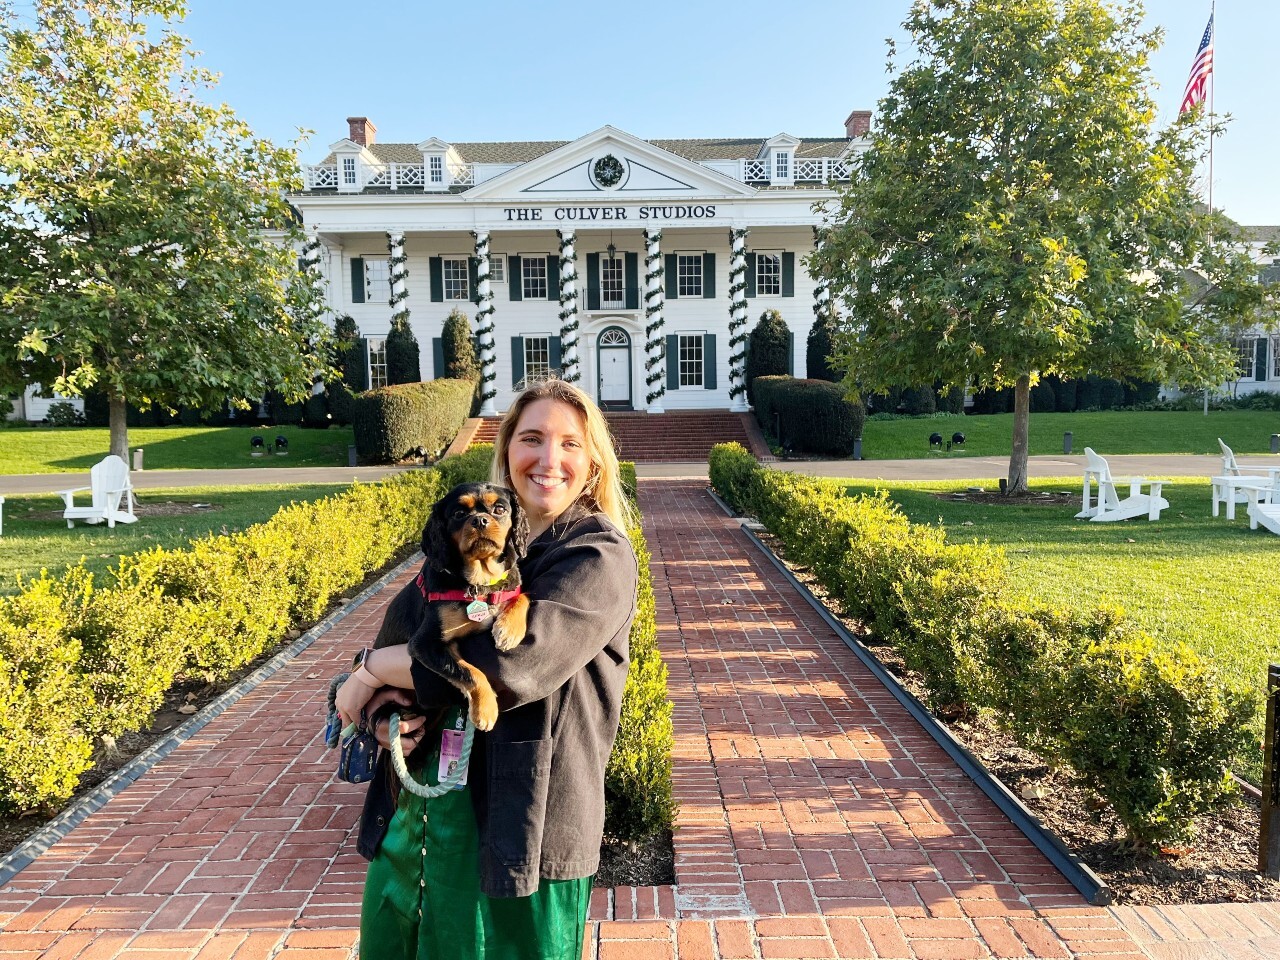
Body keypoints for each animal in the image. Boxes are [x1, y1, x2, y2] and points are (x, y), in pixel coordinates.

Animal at [371, 483, 529, 732]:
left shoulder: (510, 586)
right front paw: (485, 709)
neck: (479, 584)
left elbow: (522, 596)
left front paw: (508, 631)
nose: (480, 520)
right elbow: (469, 672)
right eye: (458, 513)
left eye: (500, 509)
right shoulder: (424, 644)